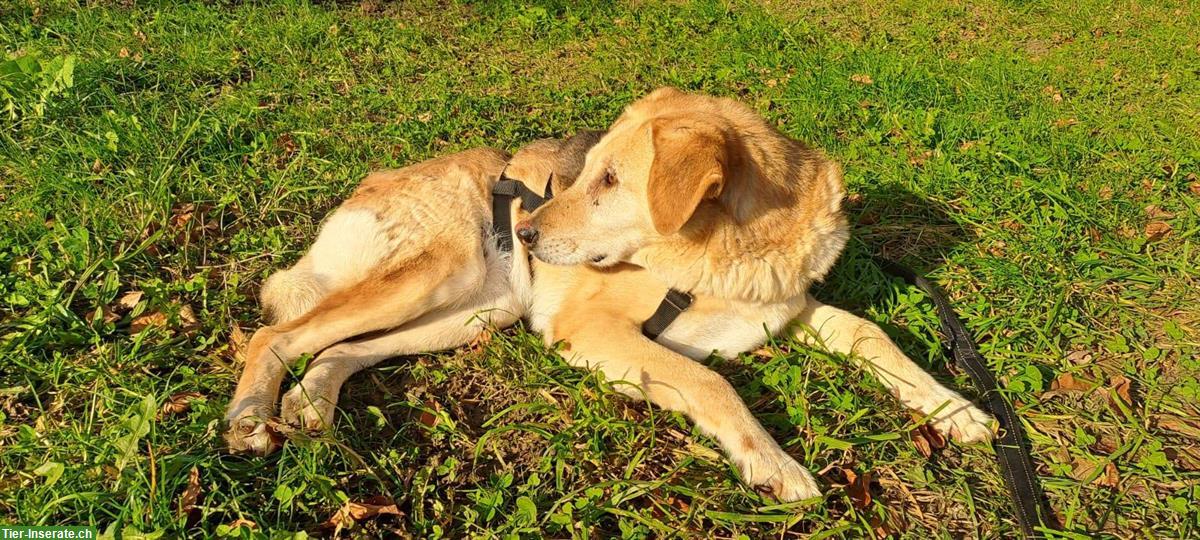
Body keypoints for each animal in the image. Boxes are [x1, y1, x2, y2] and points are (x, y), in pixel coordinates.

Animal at [225, 87, 993, 501]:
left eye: (611, 181)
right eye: (584, 170)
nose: (526, 231)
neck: (722, 255)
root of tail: (368, 184)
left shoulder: (789, 311)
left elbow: (875, 335)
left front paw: (956, 409)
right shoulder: (594, 332)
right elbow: (711, 382)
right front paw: (774, 464)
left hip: (472, 313)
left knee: (341, 348)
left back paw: (310, 402)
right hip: (434, 277)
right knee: (276, 332)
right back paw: (249, 416)